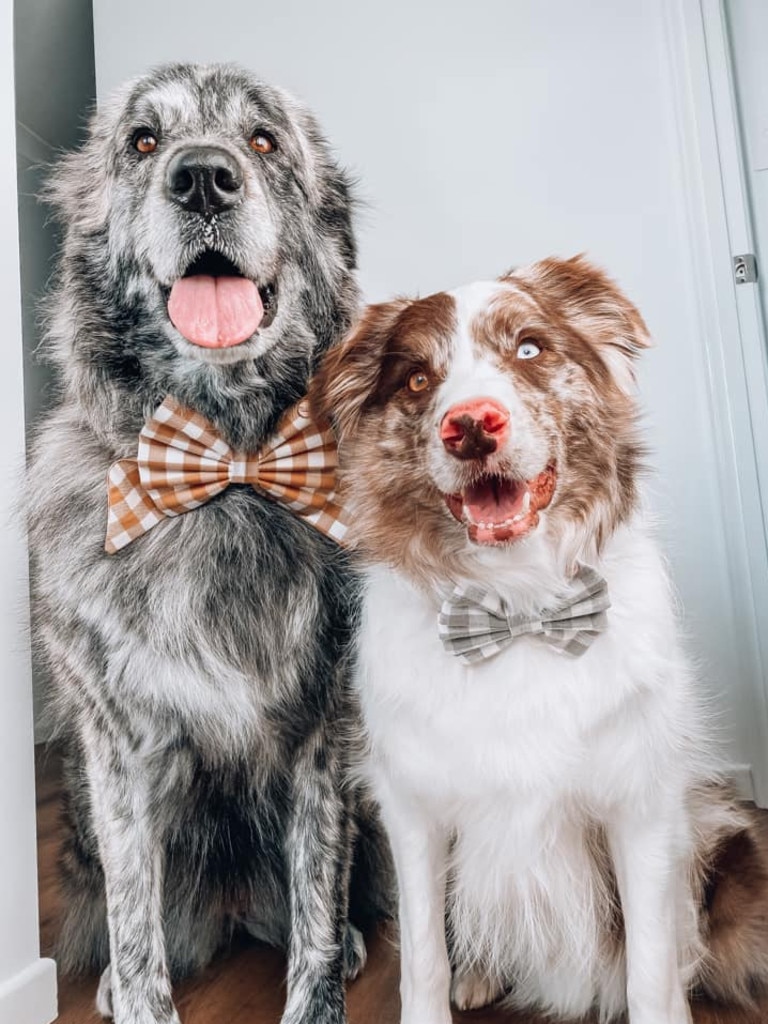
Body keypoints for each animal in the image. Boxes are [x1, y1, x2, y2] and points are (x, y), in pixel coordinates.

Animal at [28, 61, 391, 1024]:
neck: (225, 463)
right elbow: (135, 922)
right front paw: (137, 993)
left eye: (263, 140)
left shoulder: (325, 740)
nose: (201, 178)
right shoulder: (117, 752)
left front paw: (322, 982)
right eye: (143, 141)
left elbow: (315, 906)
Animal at [311, 258, 768, 1024]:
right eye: (417, 380)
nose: (471, 426)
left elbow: (651, 967)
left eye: (528, 348)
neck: (518, 607)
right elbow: (424, 959)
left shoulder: (639, 804)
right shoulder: (413, 809)